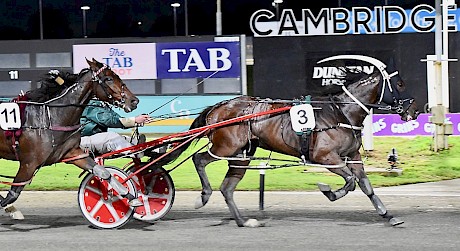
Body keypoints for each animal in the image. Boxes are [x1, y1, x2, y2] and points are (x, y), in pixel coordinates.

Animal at [0, 59, 140, 214]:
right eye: (108, 78)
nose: (134, 100)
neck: (50, 119)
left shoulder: (73, 153)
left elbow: (103, 172)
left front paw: (130, 196)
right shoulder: (29, 163)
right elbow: (12, 195)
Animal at [165, 55, 420, 227]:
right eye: (400, 84)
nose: (415, 110)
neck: (341, 113)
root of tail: (218, 107)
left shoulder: (353, 156)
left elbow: (365, 185)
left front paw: (388, 215)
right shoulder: (325, 157)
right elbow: (349, 182)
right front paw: (328, 191)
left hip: (242, 155)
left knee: (227, 188)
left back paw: (243, 221)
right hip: (225, 147)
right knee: (199, 160)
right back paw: (203, 196)